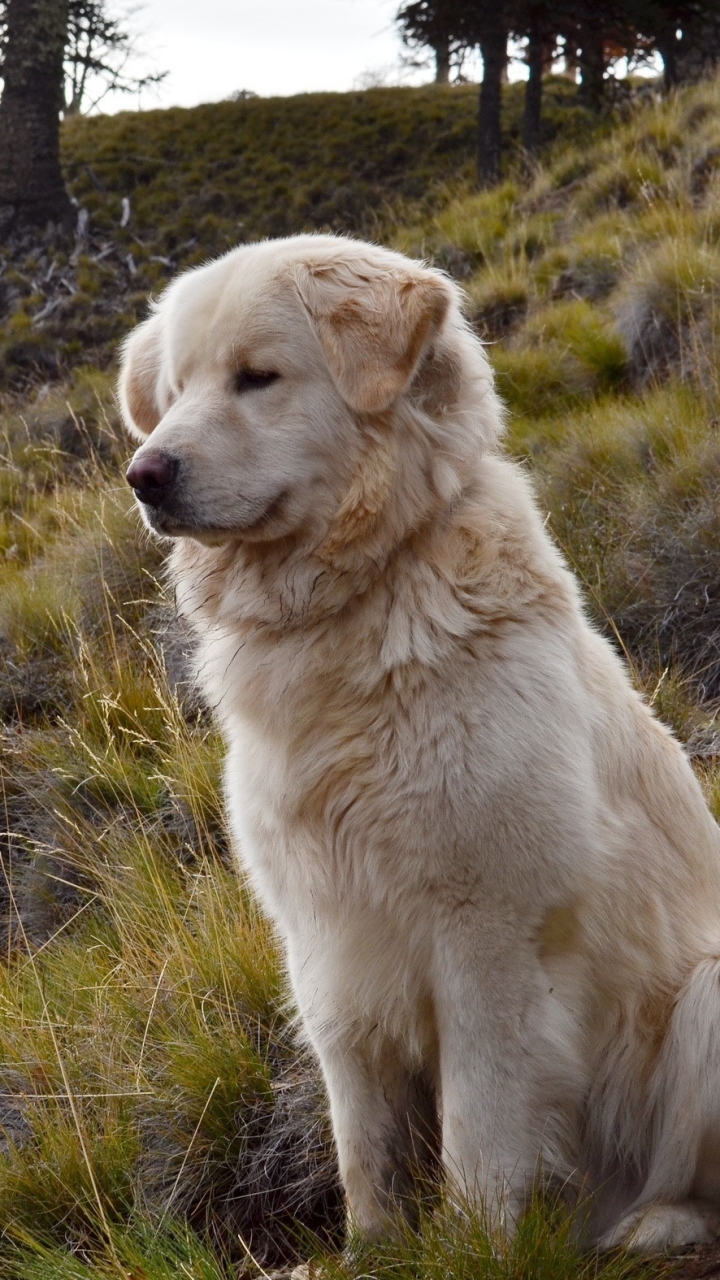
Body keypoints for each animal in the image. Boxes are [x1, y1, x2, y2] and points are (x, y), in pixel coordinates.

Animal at [119, 230, 720, 1249]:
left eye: (257, 377)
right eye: (178, 388)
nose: (145, 474)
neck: (355, 611)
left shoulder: (488, 933)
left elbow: (481, 1129)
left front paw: (481, 1246)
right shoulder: (328, 944)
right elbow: (365, 1136)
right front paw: (373, 1247)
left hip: (708, 994)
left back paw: (654, 1225)